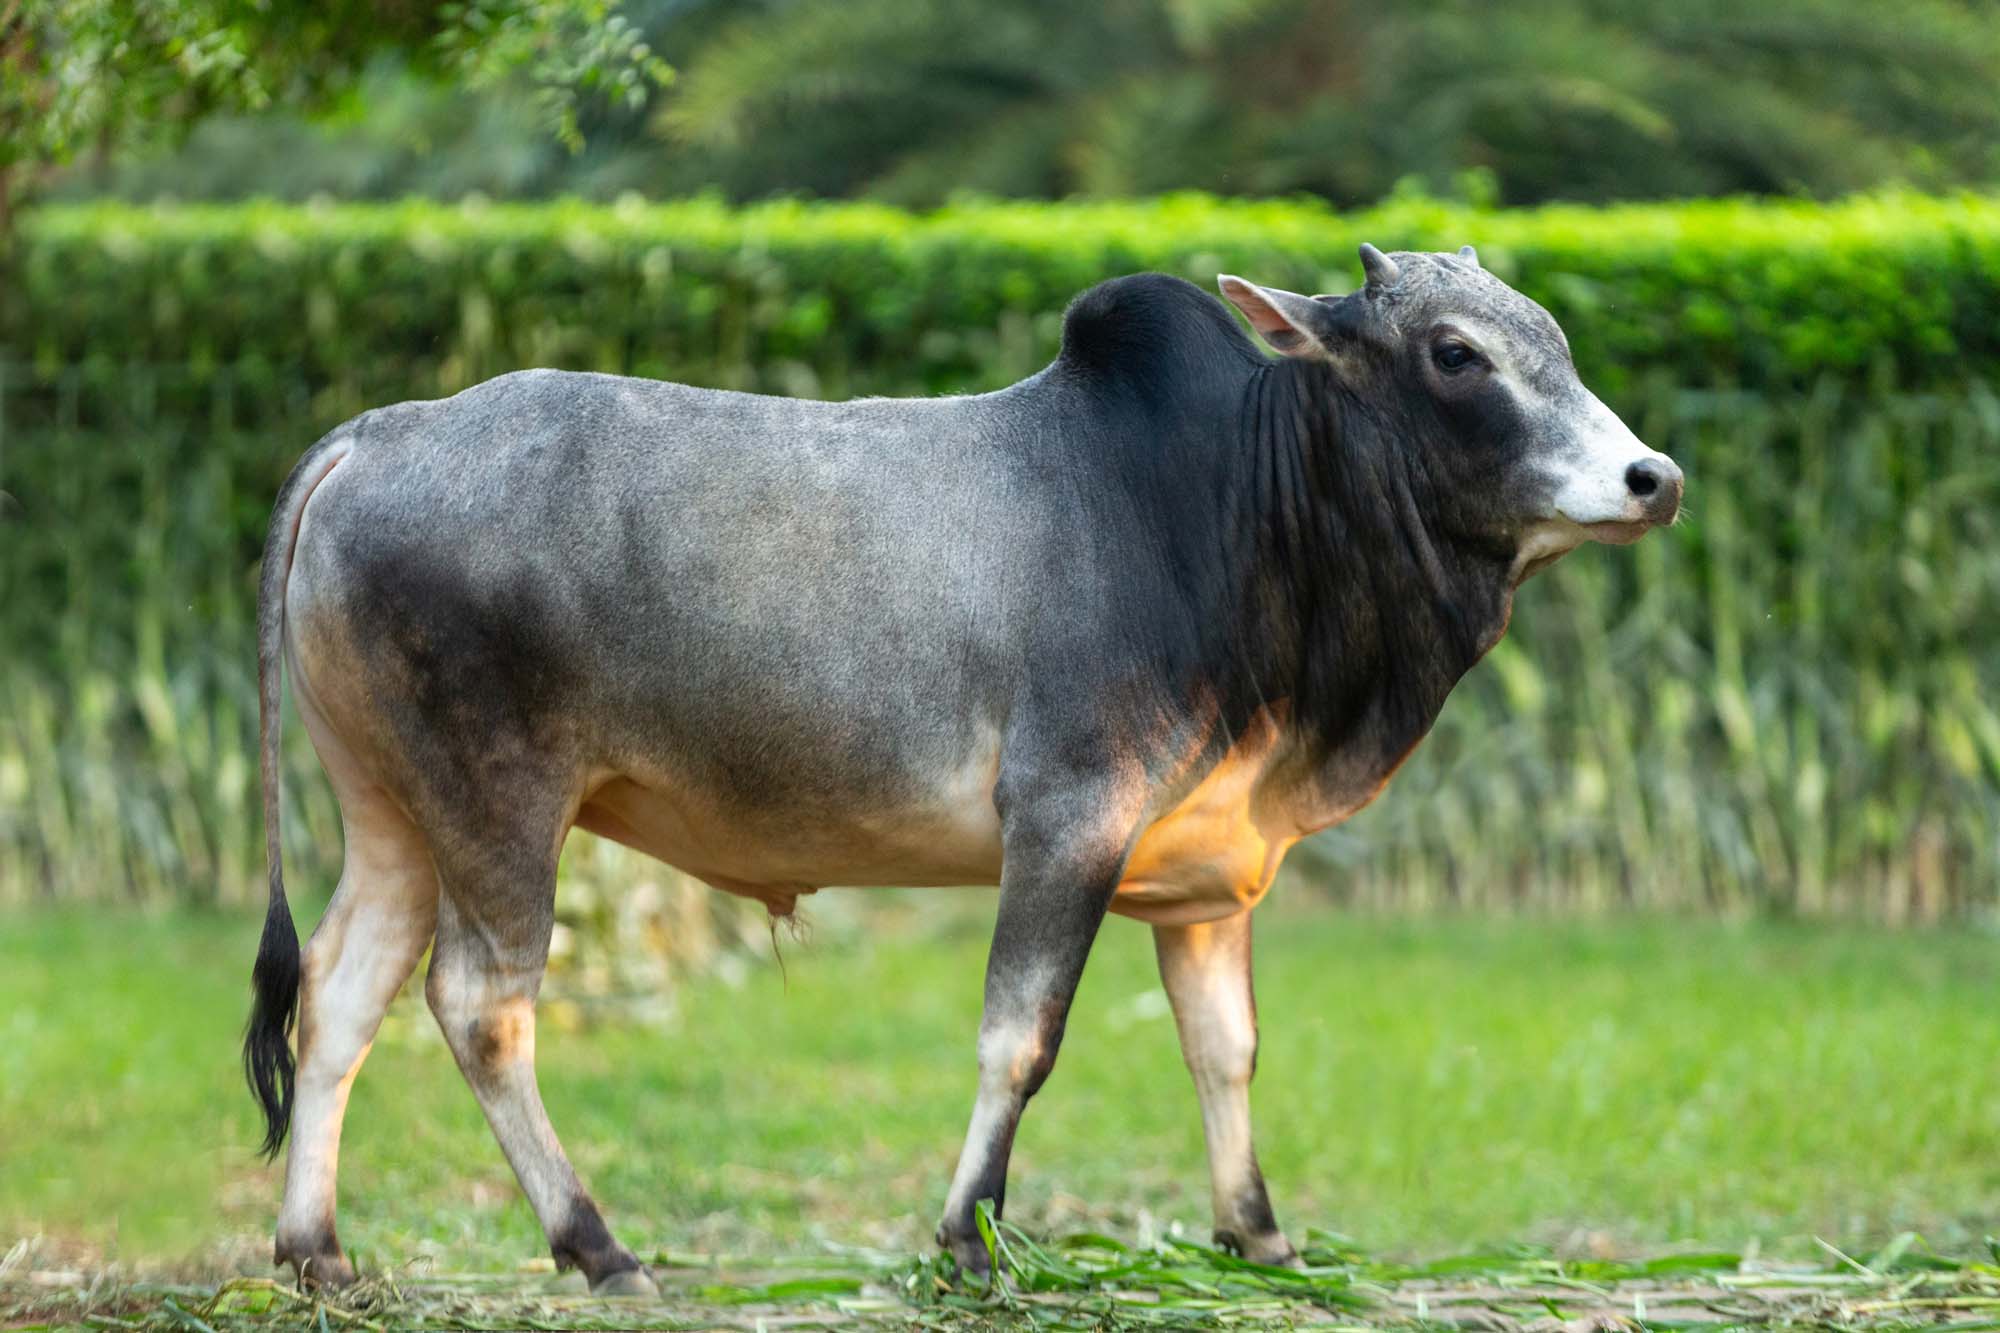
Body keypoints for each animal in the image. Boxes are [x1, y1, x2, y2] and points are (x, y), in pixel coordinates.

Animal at [243, 243, 1682, 1294]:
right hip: (498, 801)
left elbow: (1224, 1049)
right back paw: (598, 1248)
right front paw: (967, 1238)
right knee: (480, 1005)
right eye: (1456, 353)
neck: (1224, 511)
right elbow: (1019, 1037)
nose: (1651, 476)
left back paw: (318, 1253)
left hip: (392, 814)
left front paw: (1259, 1233)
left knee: (342, 989)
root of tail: (374, 433)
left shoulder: (1202, 874)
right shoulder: (1066, 821)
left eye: (1550, 335)